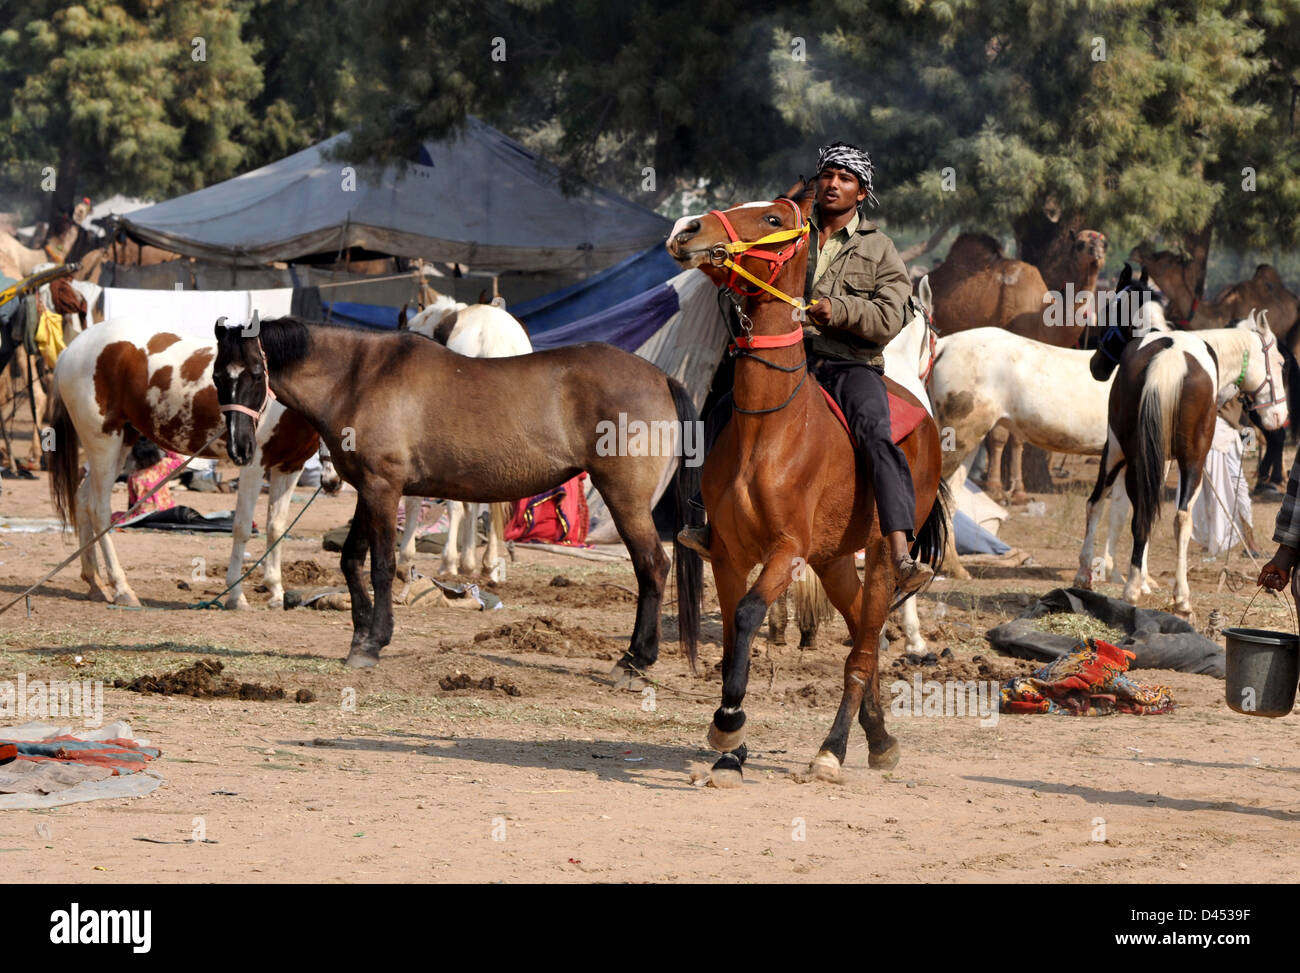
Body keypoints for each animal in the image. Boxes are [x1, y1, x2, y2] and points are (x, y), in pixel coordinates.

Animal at [49, 318, 340, 608]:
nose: (334, 482)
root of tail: (70, 350)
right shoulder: (254, 465)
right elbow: (242, 527)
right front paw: (236, 595)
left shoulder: (289, 468)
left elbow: (276, 528)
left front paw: (276, 592)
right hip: (103, 442)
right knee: (98, 509)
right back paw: (122, 589)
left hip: (122, 441)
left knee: (82, 500)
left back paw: (95, 584)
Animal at [670, 182, 946, 785]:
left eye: (773, 218)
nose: (685, 230)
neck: (772, 430)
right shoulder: (728, 555)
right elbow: (732, 638)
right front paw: (732, 749)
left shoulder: (786, 550)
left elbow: (749, 614)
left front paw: (728, 725)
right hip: (835, 560)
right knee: (864, 634)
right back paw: (879, 737)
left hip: (879, 556)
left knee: (862, 653)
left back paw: (833, 750)